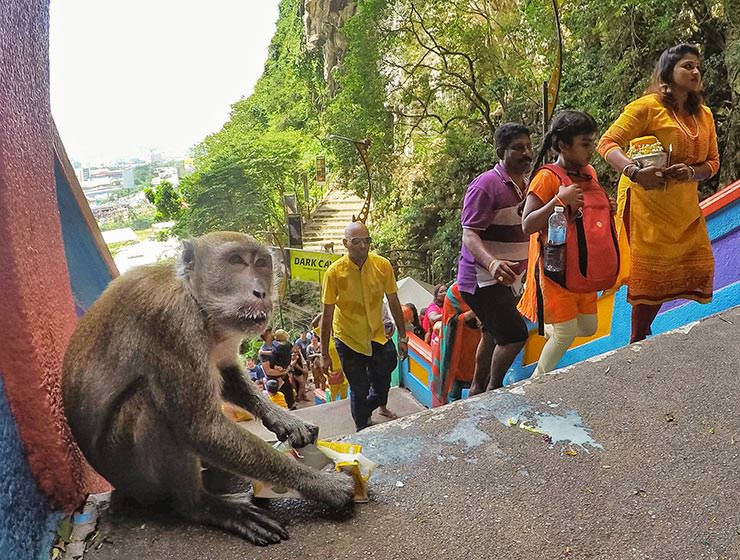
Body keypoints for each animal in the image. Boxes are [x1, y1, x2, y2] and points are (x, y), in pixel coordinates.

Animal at [62, 231, 355, 545]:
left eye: (262, 263)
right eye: (236, 261)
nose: (260, 292)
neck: (196, 299)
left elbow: (226, 373)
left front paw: (286, 420)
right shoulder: (173, 323)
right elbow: (200, 428)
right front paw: (320, 484)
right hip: (135, 476)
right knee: (152, 407)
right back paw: (202, 505)